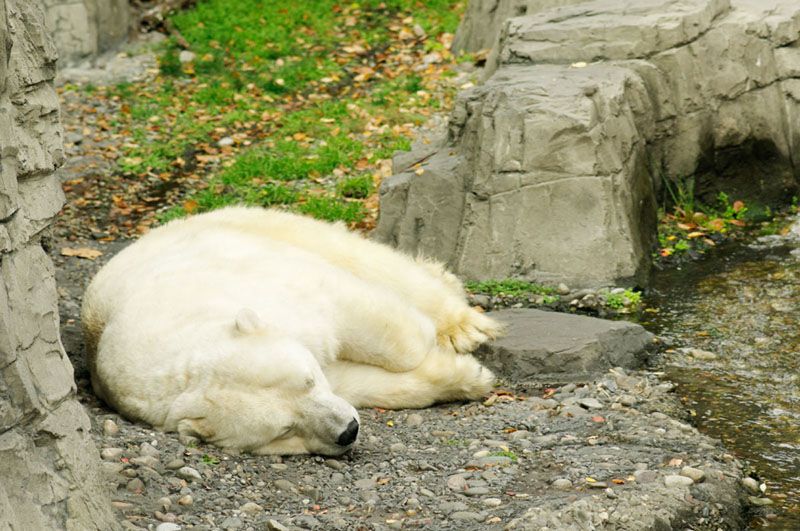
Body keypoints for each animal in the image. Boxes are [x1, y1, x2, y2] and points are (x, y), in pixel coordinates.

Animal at [84, 206, 504, 456]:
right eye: (285, 430)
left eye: (307, 380)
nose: (348, 431)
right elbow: (357, 382)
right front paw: (464, 376)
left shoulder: (277, 290)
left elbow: (374, 324)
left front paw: (457, 359)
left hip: (252, 228)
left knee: (366, 260)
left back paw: (461, 322)